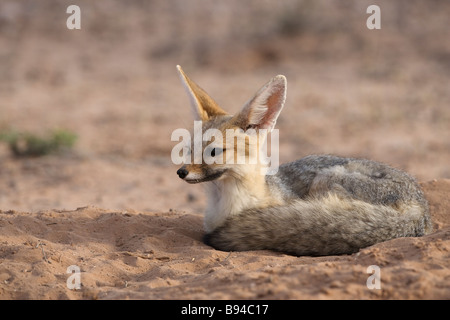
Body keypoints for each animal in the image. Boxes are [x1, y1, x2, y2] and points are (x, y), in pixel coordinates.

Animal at [175, 65, 432, 258]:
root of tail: (420, 208)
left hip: (326, 179)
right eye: (189, 149)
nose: (181, 172)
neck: (227, 206)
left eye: (214, 151)